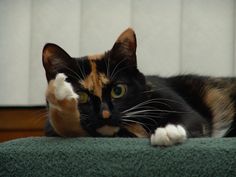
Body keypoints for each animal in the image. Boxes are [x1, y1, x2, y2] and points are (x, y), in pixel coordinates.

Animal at [42, 28, 236, 147]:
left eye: (118, 91)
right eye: (81, 96)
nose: (105, 114)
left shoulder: (171, 98)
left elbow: (192, 119)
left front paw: (168, 132)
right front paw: (60, 97)